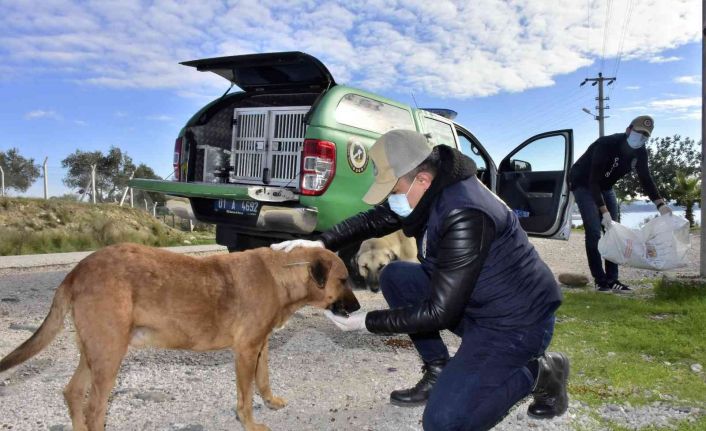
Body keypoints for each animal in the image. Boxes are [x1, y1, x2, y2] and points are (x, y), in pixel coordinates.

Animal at [0, 245, 360, 430]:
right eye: (344, 279)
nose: (358, 308)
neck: (279, 275)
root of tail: (77, 270)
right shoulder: (245, 351)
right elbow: (245, 398)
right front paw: (251, 422)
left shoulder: (261, 346)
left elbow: (264, 379)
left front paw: (270, 401)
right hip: (109, 355)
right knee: (93, 409)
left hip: (95, 352)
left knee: (72, 392)